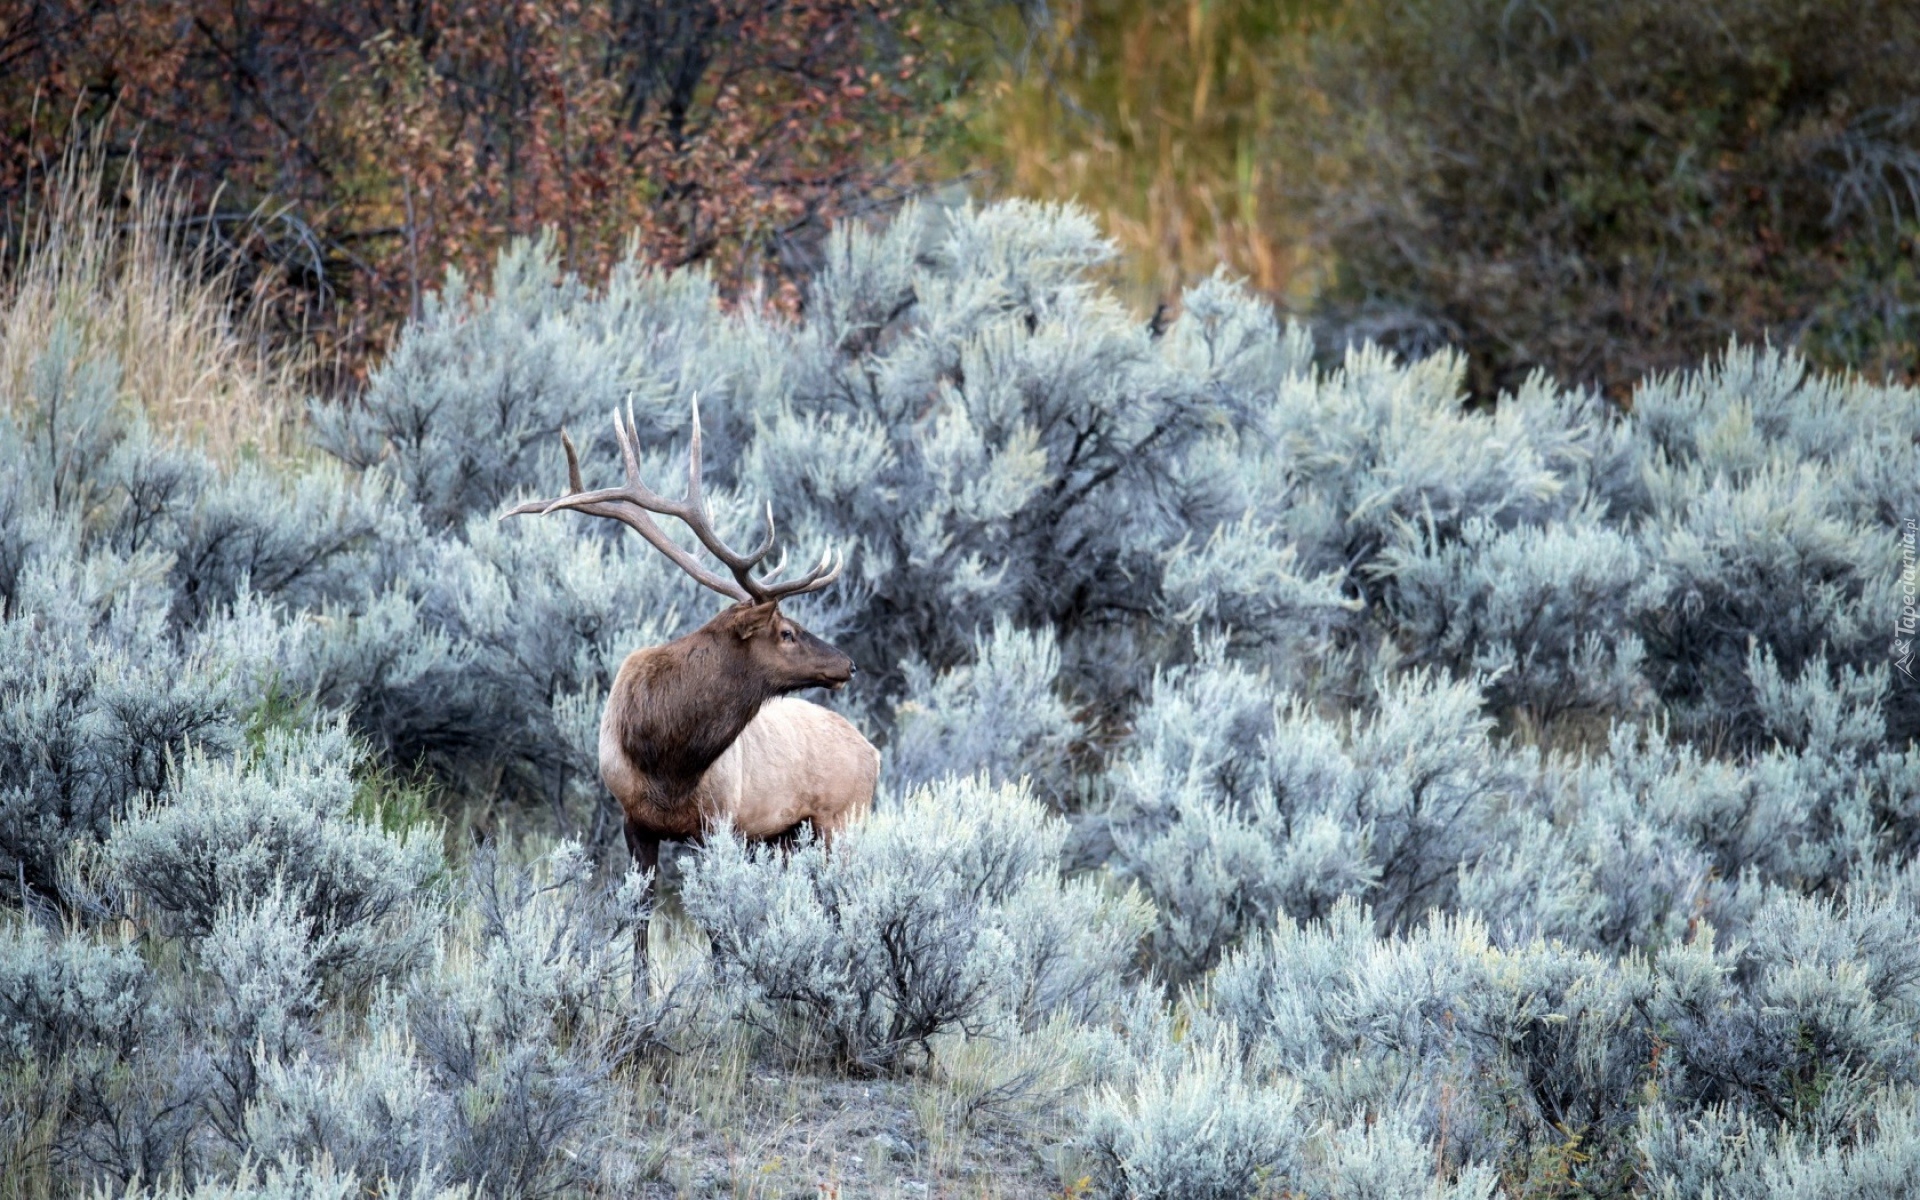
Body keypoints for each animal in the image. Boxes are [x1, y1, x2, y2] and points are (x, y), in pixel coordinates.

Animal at [503, 397, 879, 960]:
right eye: (787, 632)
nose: (847, 664)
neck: (667, 758)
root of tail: (874, 753)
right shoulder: (633, 822)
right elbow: (639, 922)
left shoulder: (716, 825)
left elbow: (718, 931)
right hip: (790, 835)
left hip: (843, 820)